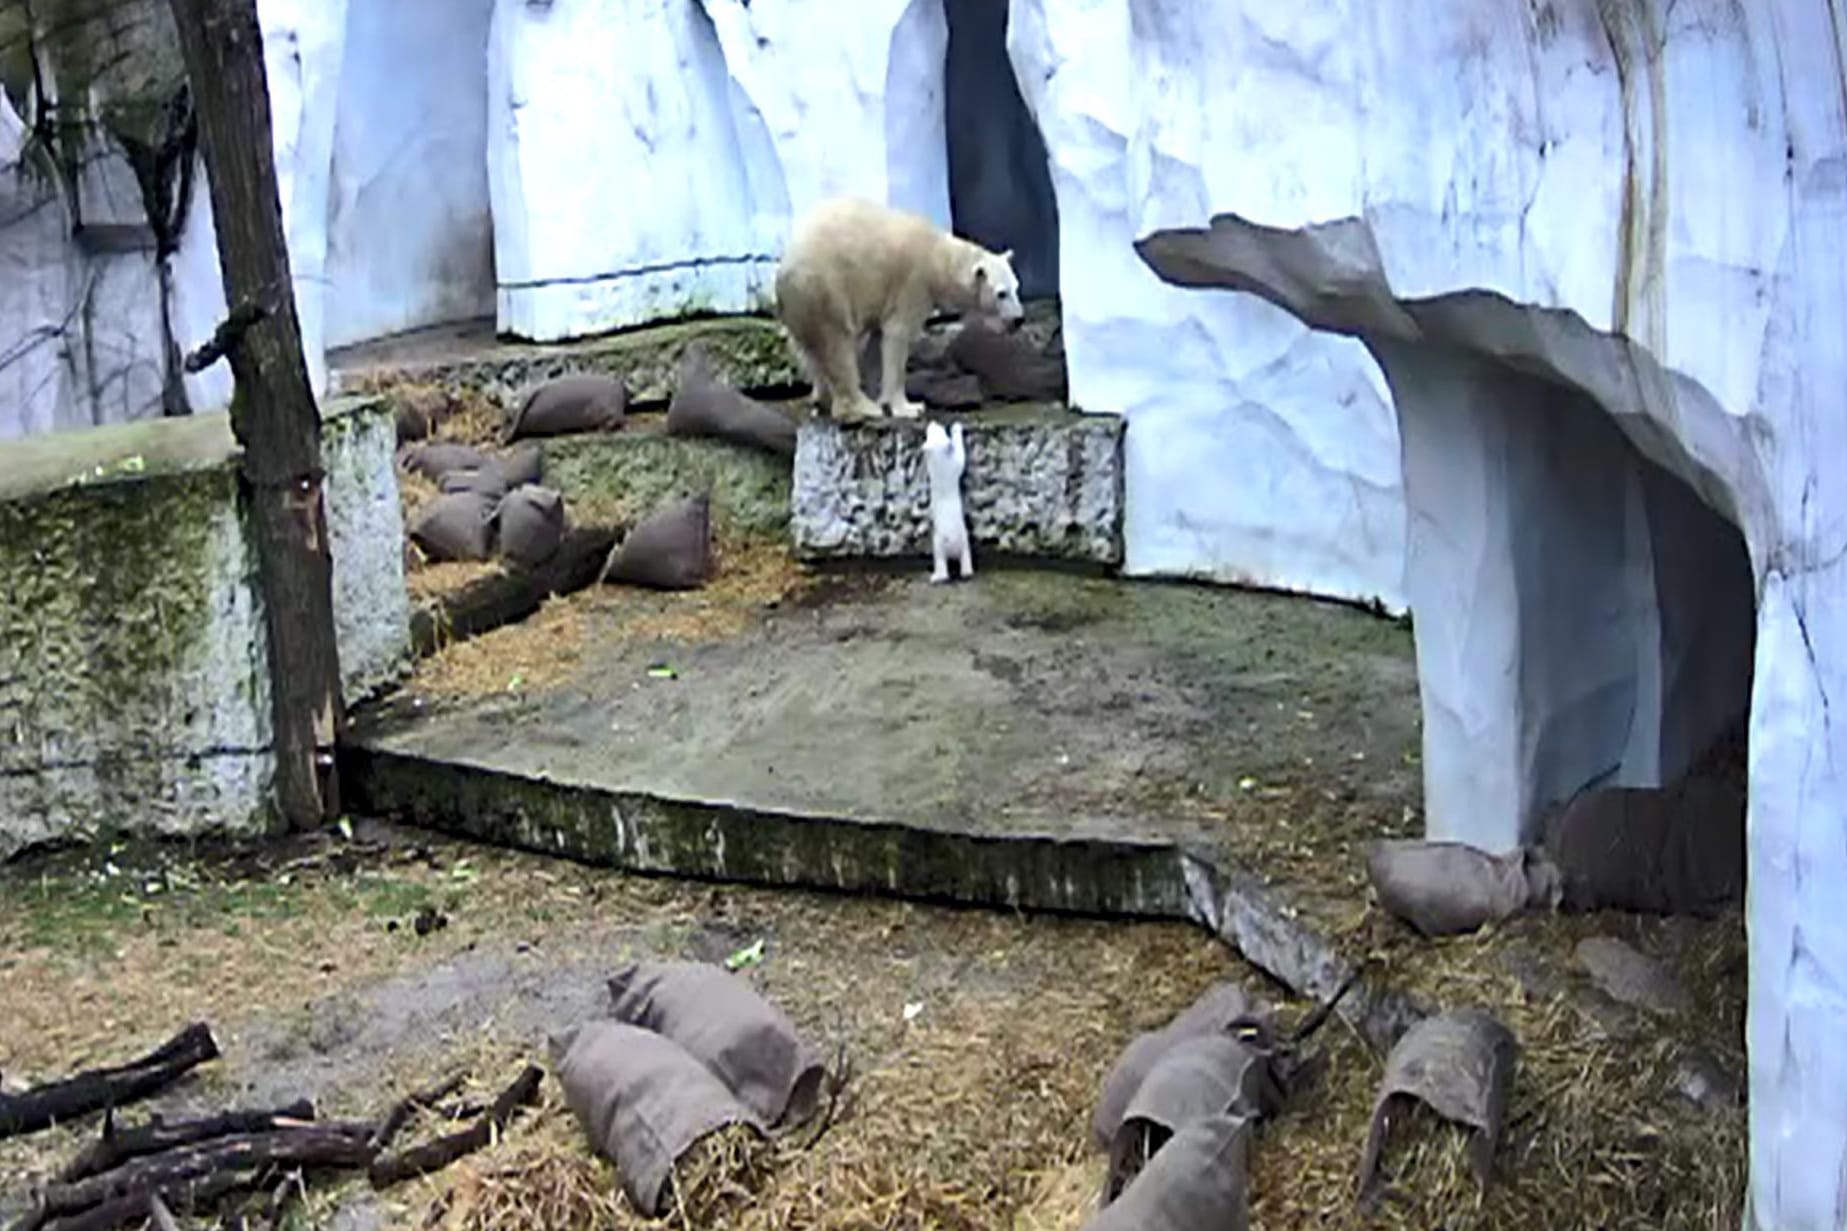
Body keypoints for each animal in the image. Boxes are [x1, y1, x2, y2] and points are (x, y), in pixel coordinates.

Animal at [768, 195, 1026, 417]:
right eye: (1001, 294)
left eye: (1016, 287)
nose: (1018, 319)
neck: (938, 256)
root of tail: (783, 271)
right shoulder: (914, 283)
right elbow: (897, 334)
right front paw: (908, 407)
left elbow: (877, 340)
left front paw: (880, 394)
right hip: (824, 289)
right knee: (837, 345)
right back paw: (862, 407)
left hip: (800, 306)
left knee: (808, 350)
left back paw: (821, 398)